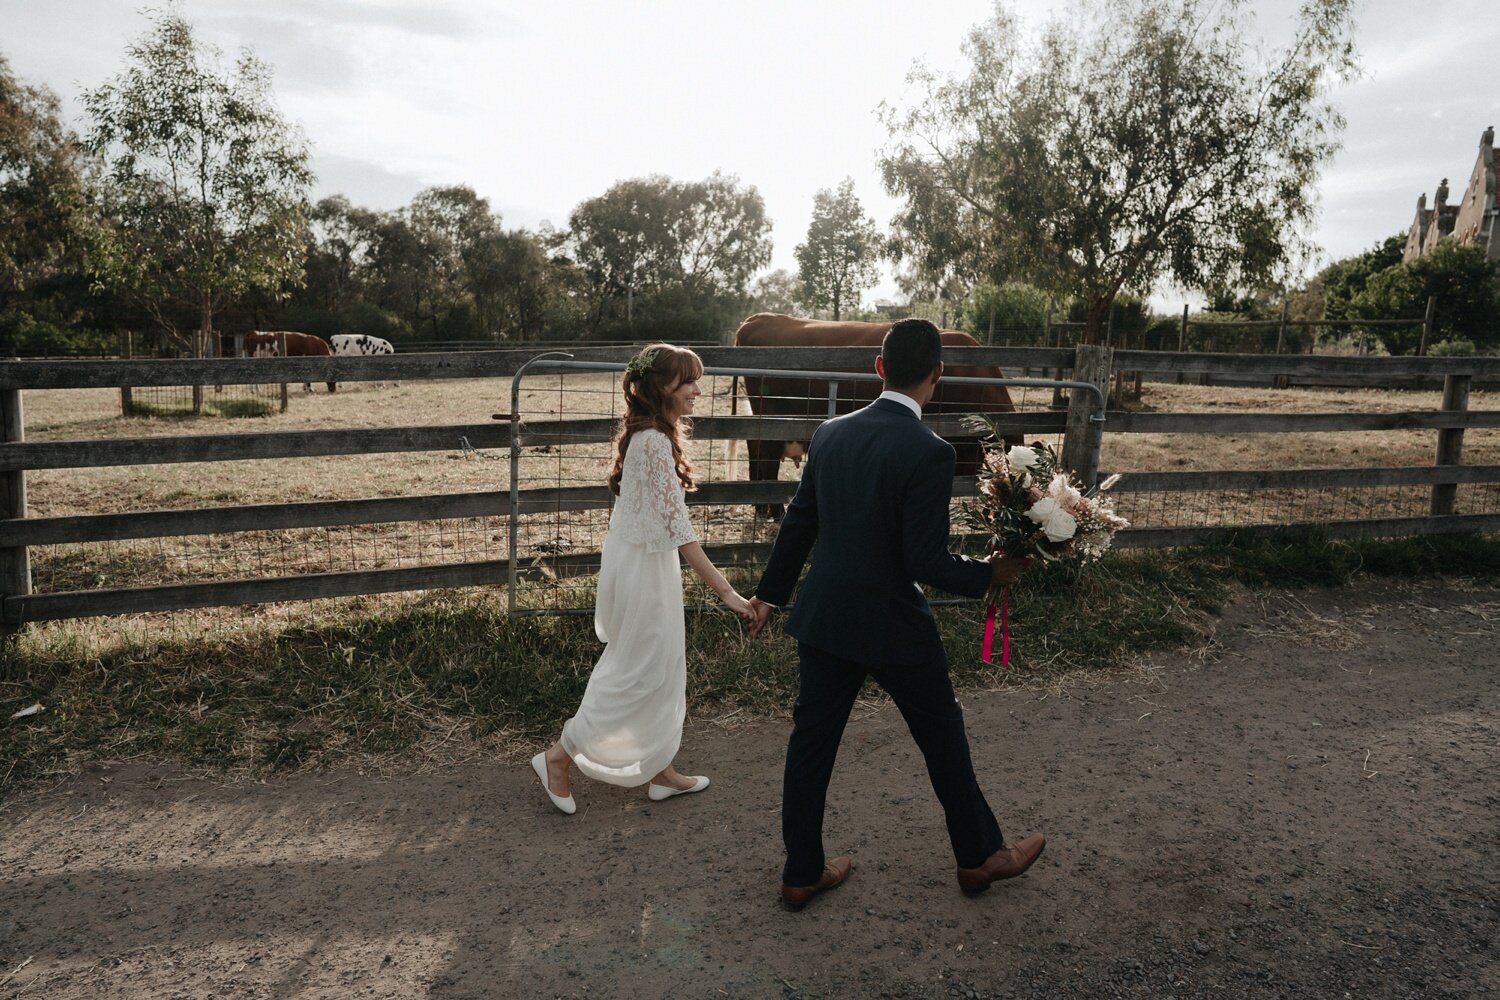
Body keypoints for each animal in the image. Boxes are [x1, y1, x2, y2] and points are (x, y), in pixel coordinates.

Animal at [726, 310, 1020, 515]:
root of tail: (757, 319)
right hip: (773, 419)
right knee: (767, 458)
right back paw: (774, 511)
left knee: (755, 448)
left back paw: (761, 508)